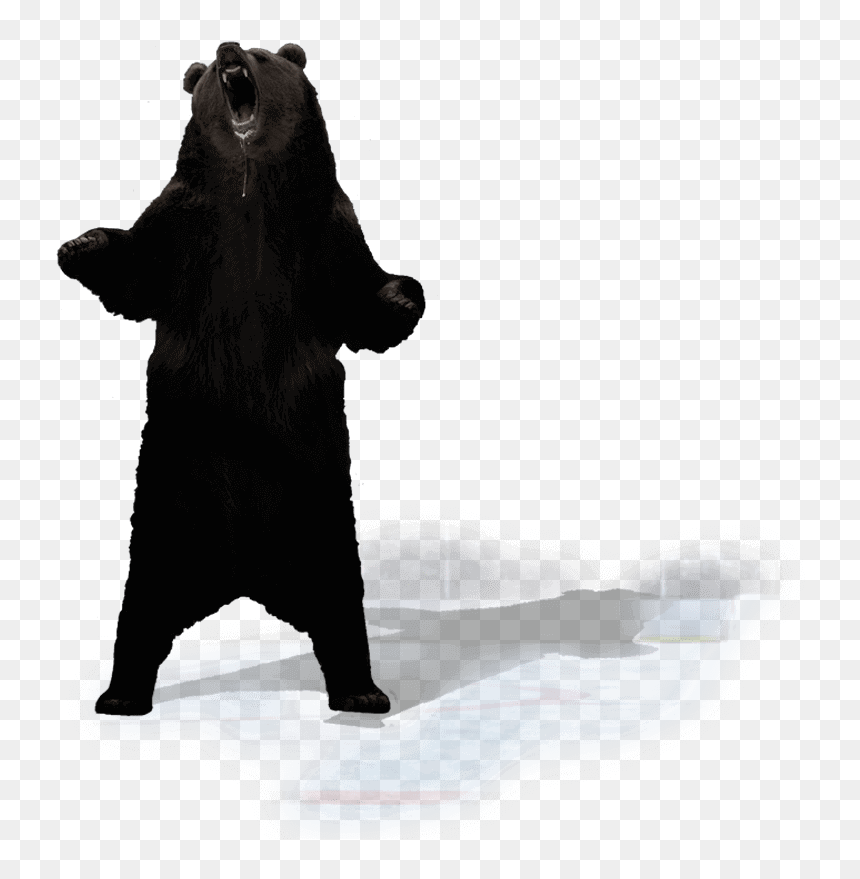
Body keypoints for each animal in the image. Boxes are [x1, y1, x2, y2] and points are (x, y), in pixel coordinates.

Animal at [57, 41, 424, 716]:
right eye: (206, 68)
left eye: (261, 55)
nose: (228, 49)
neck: (252, 189)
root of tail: (243, 577)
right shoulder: (184, 223)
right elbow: (135, 267)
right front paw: (79, 245)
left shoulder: (324, 226)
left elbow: (362, 287)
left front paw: (404, 298)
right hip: (169, 499)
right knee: (141, 604)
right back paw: (121, 694)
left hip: (317, 501)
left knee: (340, 596)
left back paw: (361, 691)